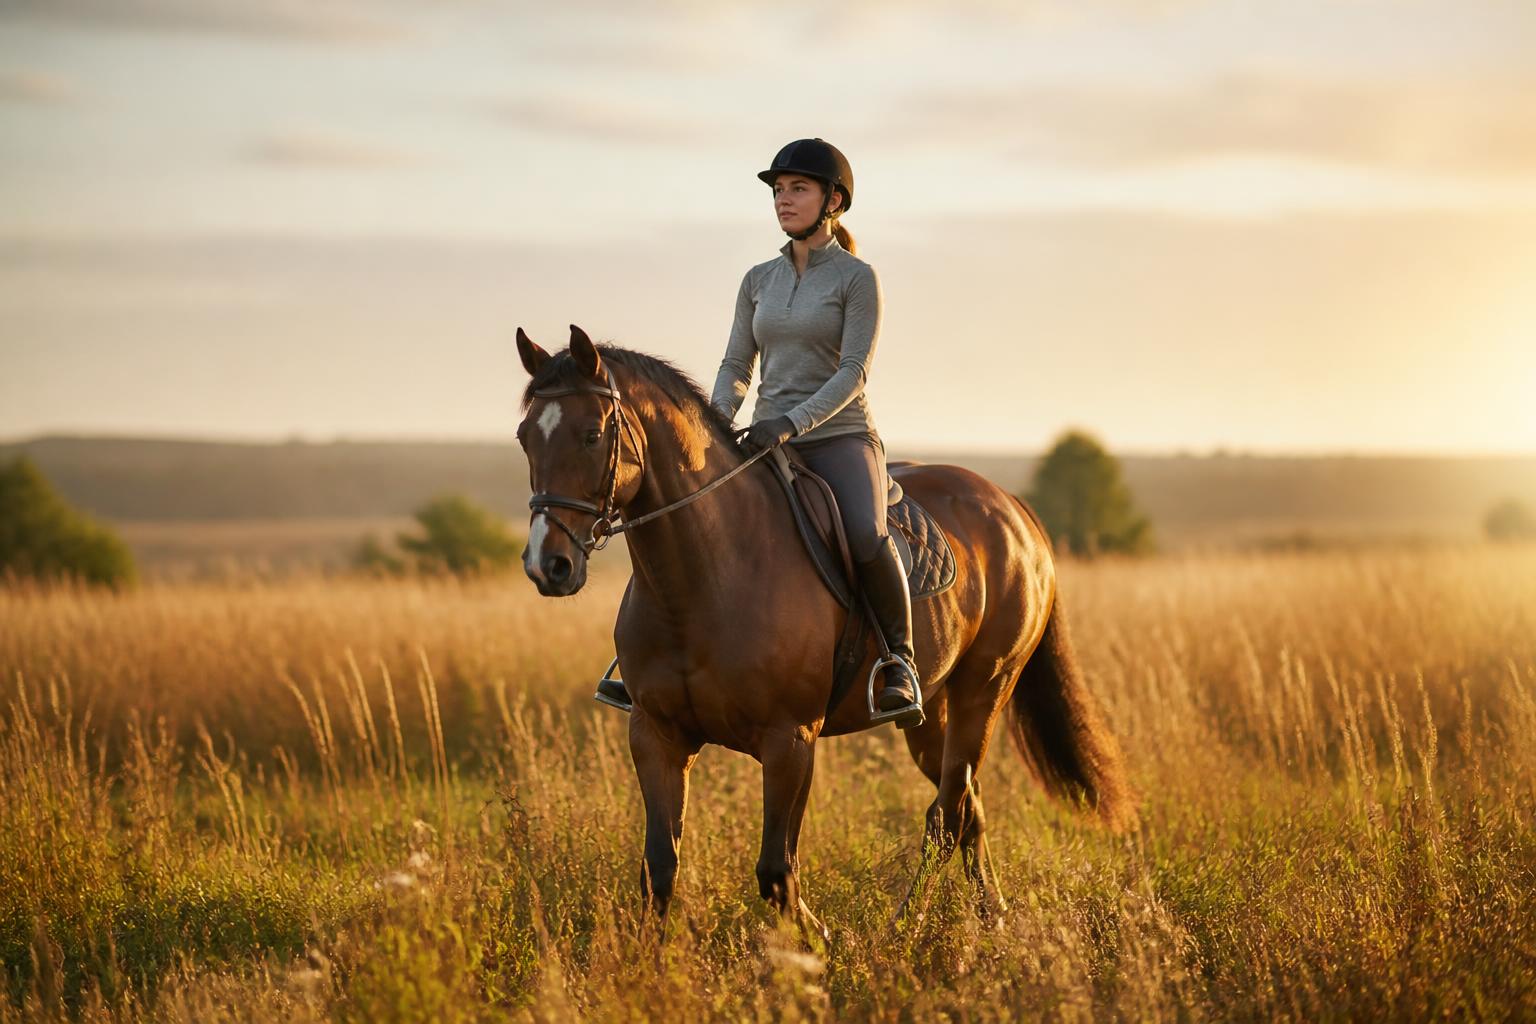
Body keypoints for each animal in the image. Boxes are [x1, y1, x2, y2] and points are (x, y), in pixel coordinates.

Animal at [513, 325, 1134, 941]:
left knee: (947, 814)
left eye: (592, 435)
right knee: (966, 806)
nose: (549, 566)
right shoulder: (654, 736)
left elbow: (776, 872)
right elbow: (659, 871)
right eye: (524, 438)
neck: (704, 577)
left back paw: (904, 928)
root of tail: (1012, 507)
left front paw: (824, 945)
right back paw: (992, 916)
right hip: (929, 711)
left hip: (984, 689)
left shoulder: (790, 740)